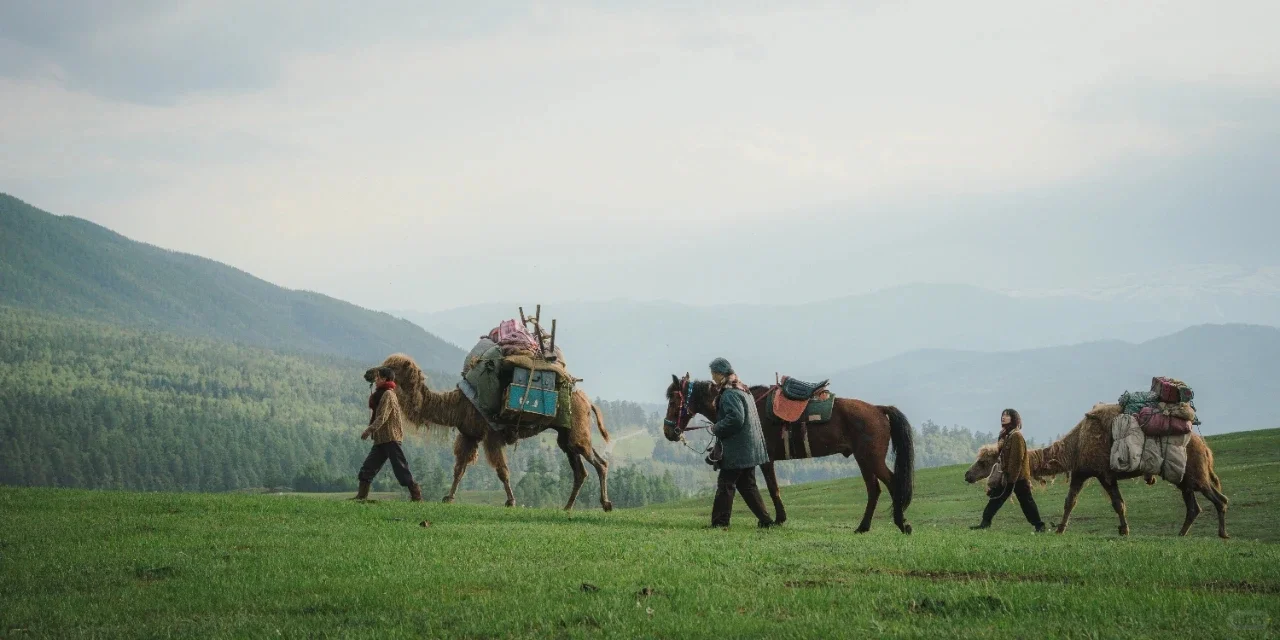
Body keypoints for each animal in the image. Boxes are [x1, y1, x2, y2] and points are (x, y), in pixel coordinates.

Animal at [665, 373, 916, 532]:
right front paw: (771, 519)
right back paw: (863, 527)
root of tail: (878, 409)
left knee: (892, 483)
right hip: (864, 460)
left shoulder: (766, 460)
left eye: (675, 400)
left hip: (871, 459)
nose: (668, 431)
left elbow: (773, 488)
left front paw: (778, 519)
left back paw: (901, 523)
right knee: (874, 490)